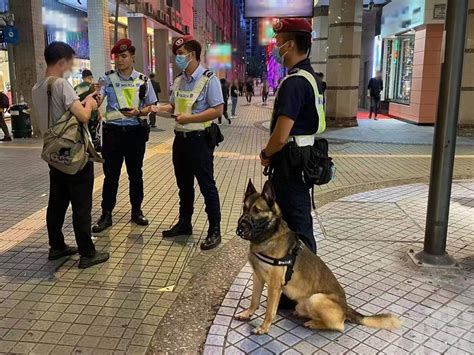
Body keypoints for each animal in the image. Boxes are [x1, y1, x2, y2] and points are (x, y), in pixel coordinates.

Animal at [233, 181, 400, 336]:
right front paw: (247, 313)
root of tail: (346, 308)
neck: (268, 238)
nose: (240, 227)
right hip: (303, 303)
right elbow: (254, 300)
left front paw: (264, 328)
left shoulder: (274, 286)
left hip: (316, 299)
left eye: (257, 211)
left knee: (339, 325)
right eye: (244, 208)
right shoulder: (257, 277)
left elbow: (269, 311)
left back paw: (313, 323)